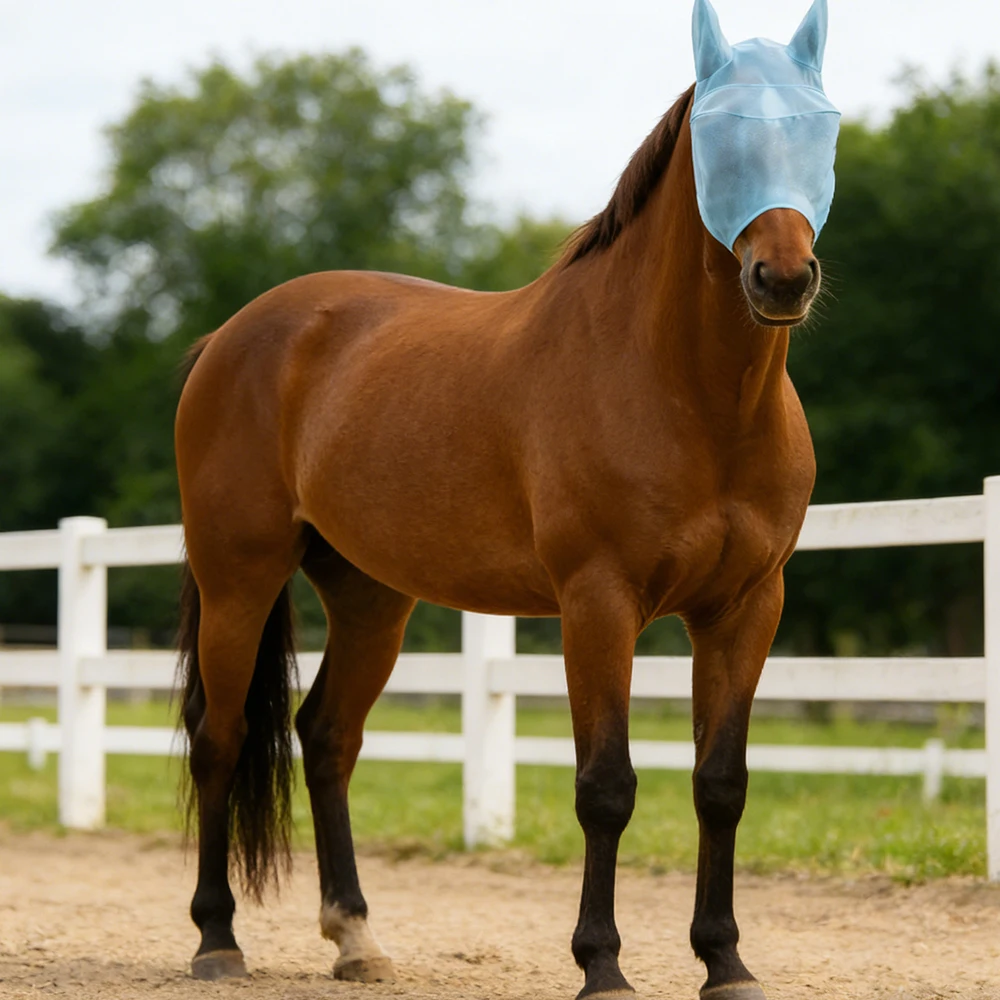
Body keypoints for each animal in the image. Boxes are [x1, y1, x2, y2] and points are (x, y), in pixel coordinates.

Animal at [175, 2, 839, 997]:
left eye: (824, 127)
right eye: (718, 135)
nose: (783, 278)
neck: (689, 392)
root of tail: (228, 336)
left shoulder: (746, 607)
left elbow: (721, 784)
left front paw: (725, 961)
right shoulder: (597, 603)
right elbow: (606, 786)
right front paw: (602, 965)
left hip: (371, 596)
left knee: (326, 737)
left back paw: (356, 938)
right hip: (238, 579)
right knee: (219, 737)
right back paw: (217, 940)